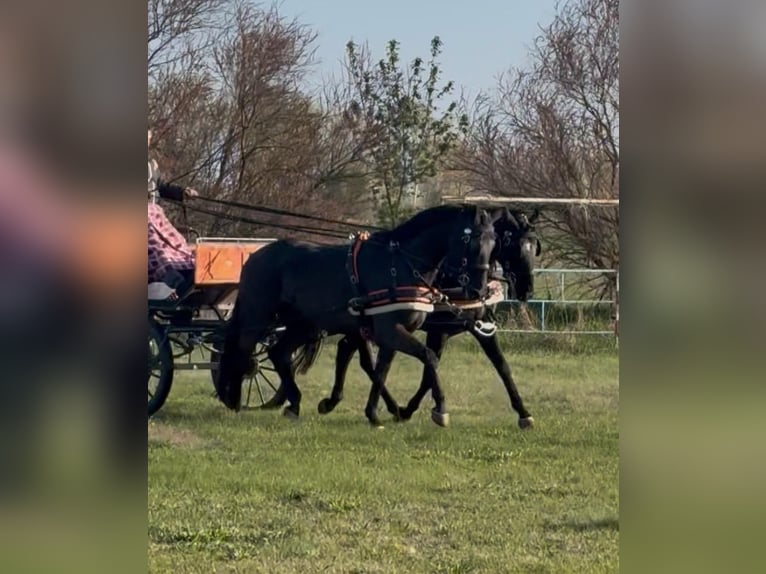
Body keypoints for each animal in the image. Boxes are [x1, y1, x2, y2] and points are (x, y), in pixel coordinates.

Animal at [214, 204, 499, 427]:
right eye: (469, 240)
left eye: (493, 242)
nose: (478, 288)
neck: (399, 266)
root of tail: (256, 256)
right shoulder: (389, 331)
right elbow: (427, 357)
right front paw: (440, 410)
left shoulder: (389, 334)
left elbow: (381, 370)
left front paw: (376, 414)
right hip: (257, 317)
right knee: (244, 351)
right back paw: (235, 400)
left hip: (303, 325)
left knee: (279, 353)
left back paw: (293, 404)